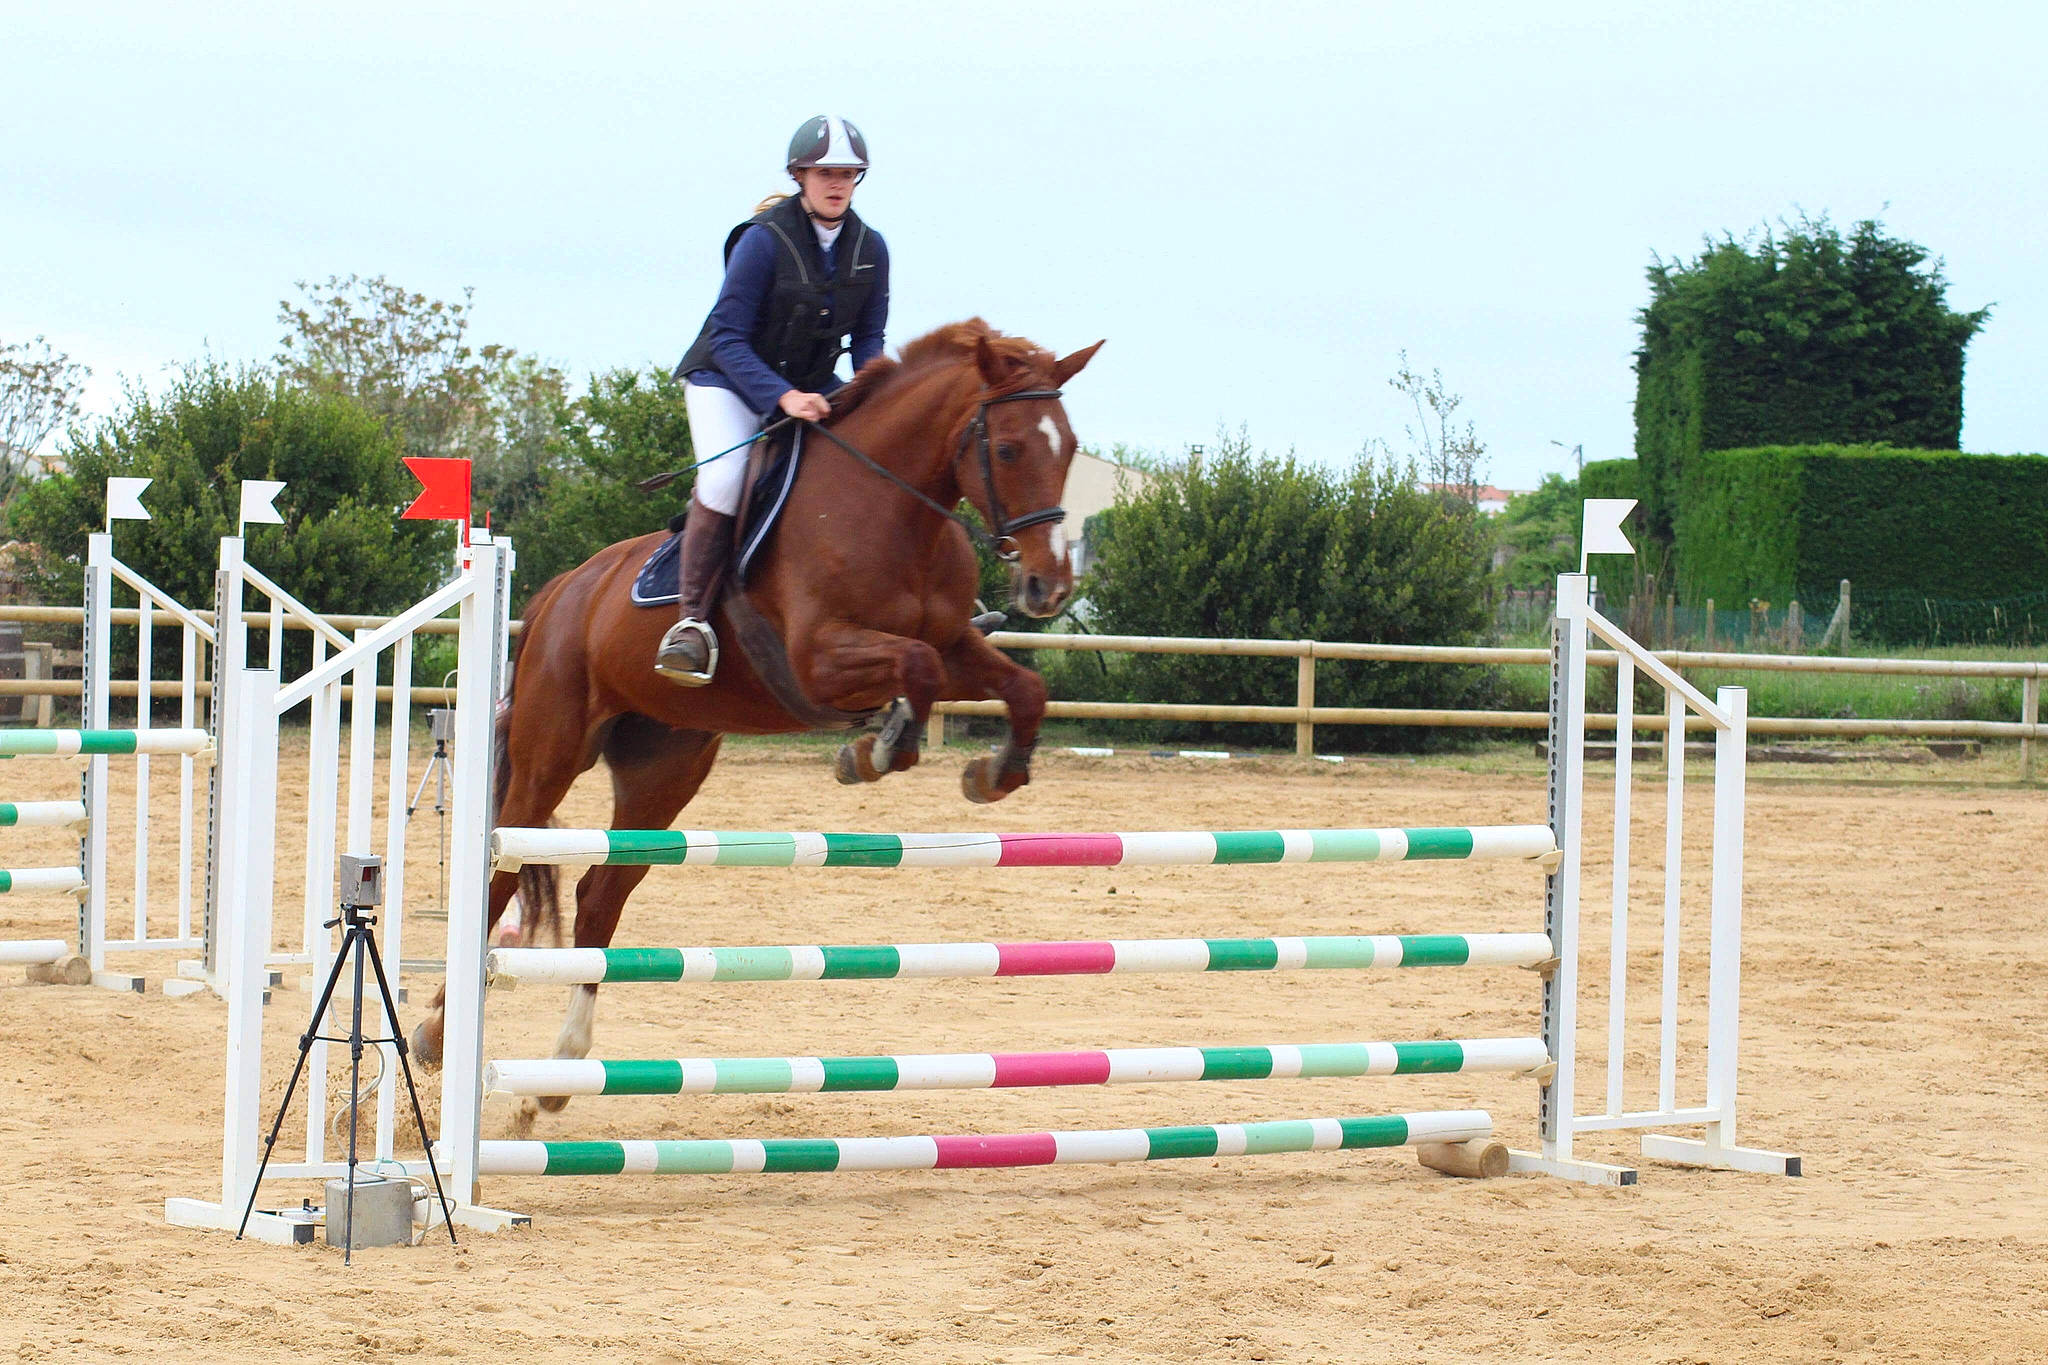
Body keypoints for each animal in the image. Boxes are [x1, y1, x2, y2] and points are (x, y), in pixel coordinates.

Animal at [413, 319, 1104, 1111]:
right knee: (502, 873)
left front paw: (993, 772)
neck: (894, 511)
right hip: (548, 752)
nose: (1049, 586)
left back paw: (560, 1072)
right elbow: (918, 670)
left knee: (599, 896)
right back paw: (435, 1035)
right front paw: (875, 749)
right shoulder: (819, 659)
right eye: (1008, 448)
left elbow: (1023, 688)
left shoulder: (958, 642)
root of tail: (563, 588)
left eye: (1070, 447)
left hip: (663, 770)